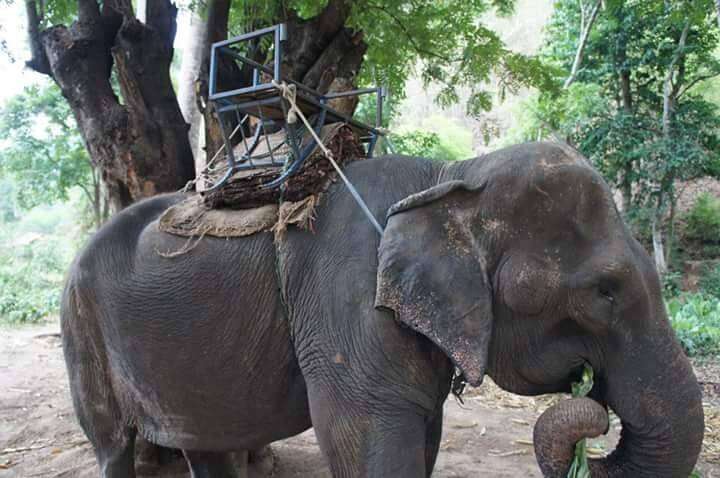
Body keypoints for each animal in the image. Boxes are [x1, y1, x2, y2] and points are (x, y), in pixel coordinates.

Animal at [62, 140, 704, 476]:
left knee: (204, 446)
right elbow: (366, 439)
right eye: (605, 291)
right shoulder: (346, 307)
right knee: (113, 447)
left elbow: (425, 436)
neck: (451, 176)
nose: (591, 397)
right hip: (81, 328)